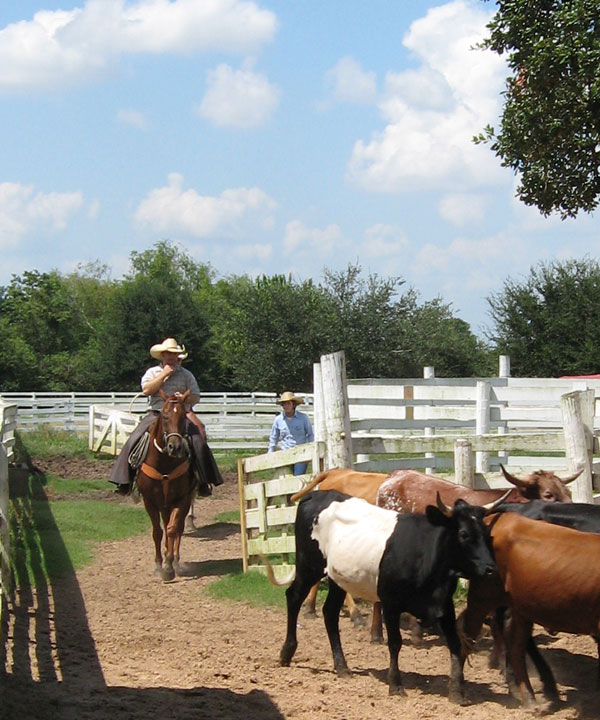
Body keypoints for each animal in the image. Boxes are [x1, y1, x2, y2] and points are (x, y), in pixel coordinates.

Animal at [136, 390, 195, 584]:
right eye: (165, 415)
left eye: (183, 416)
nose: (174, 447)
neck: (164, 466)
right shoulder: (150, 501)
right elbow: (157, 532)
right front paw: (158, 566)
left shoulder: (181, 499)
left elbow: (172, 529)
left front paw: (169, 567)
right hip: (163, 505)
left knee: (178, 528)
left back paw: (175, 560)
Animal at [264, 490, 508, 704]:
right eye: (464, 534)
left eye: (488, 535)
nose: (491, 569)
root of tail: (316, 494)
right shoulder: (391, 604)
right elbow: (395, 643)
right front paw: (396, 685)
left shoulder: (444, 606)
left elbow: (455, 644)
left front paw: (457, 691)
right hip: (308, 565)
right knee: (294, 597)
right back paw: (287, 653)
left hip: (337, 578)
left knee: (330, 613)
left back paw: (342, 667)